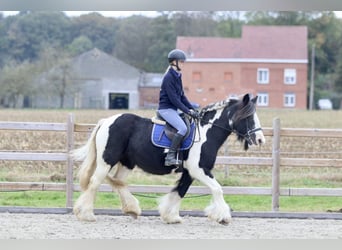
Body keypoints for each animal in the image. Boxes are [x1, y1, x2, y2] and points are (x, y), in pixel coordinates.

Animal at [71, 93, 264, 225]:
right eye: (248, 117)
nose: (261, 140)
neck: (206, 132)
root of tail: (106, 121)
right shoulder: (199, 169)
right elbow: (217, 189)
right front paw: (223, 216)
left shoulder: (189, 172)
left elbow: (180, 191)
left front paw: (171, 216)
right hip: (107, 161)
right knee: (95, 183)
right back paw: (86, 214)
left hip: (126, 163)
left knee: (118, 183)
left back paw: (132, 209)